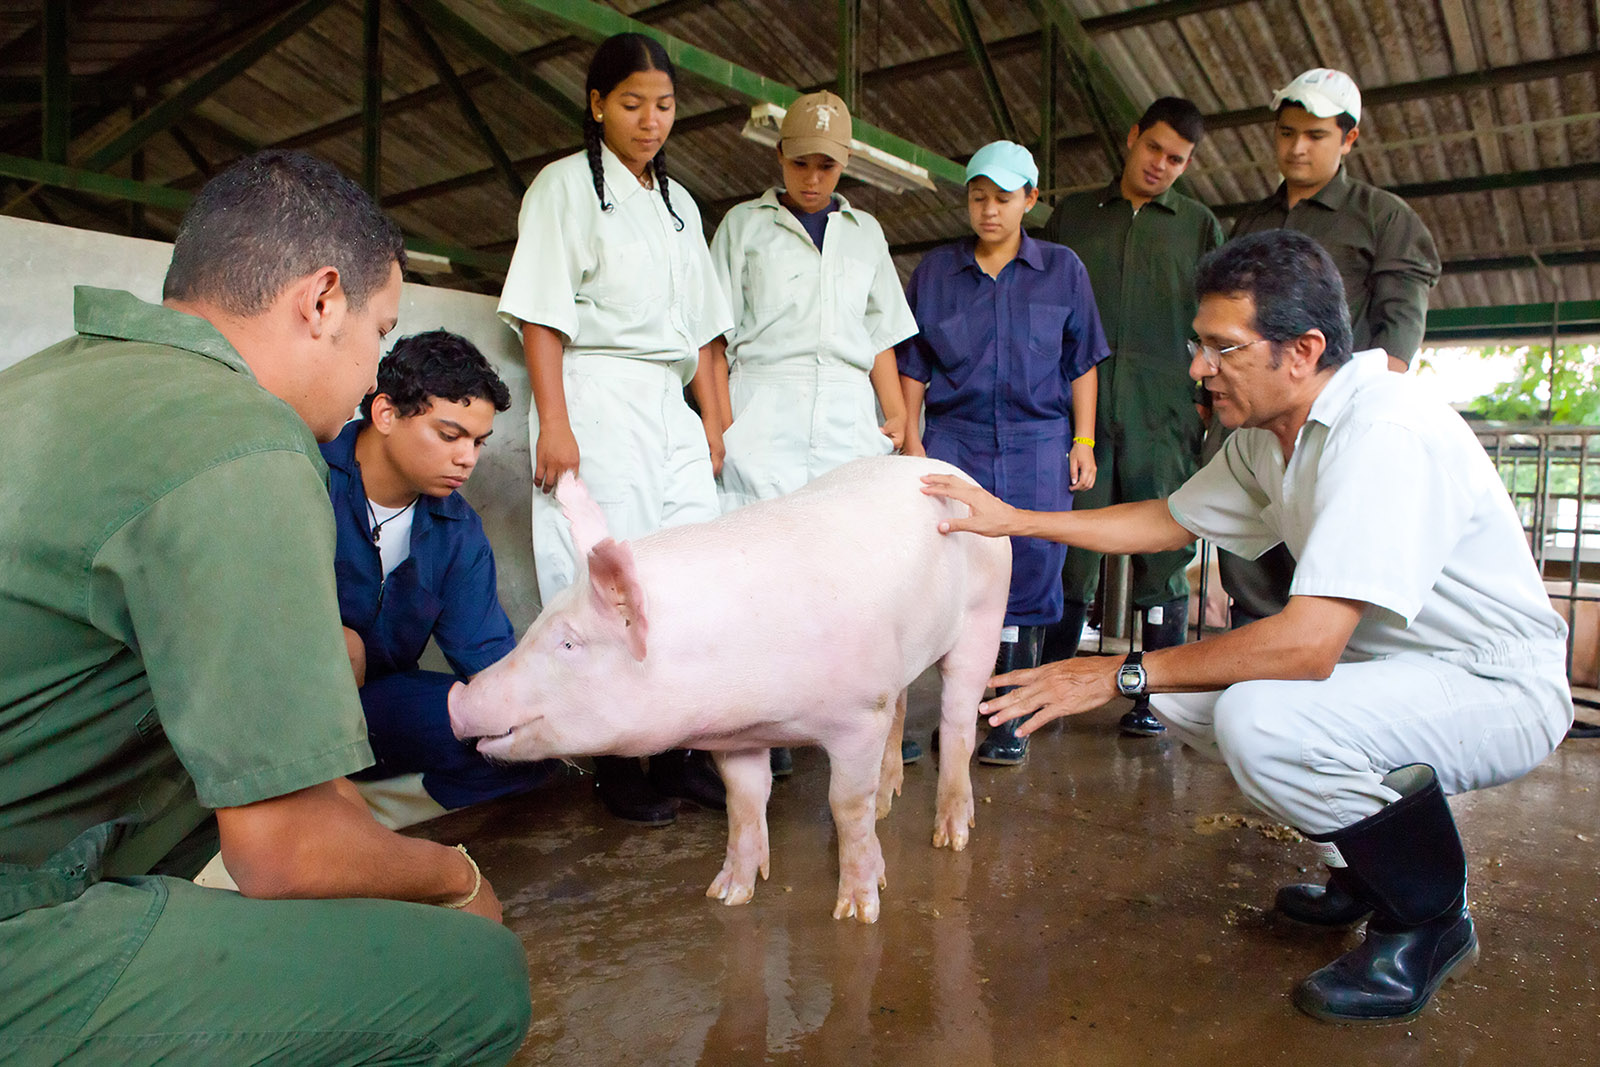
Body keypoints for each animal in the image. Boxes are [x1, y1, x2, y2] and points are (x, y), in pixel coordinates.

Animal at [444, 454, 1004, 921]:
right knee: (904, 704)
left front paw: (859, 912)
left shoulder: (860, 713)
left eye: (568, 643)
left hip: (983, 615)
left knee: (958, 720)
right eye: (538, 624)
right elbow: (743, 801)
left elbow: (846, 804)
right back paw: (888, 801)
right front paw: (727, 896)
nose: (456, 698)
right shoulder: (741, 737)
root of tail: (953, 471)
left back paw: (951, 838)